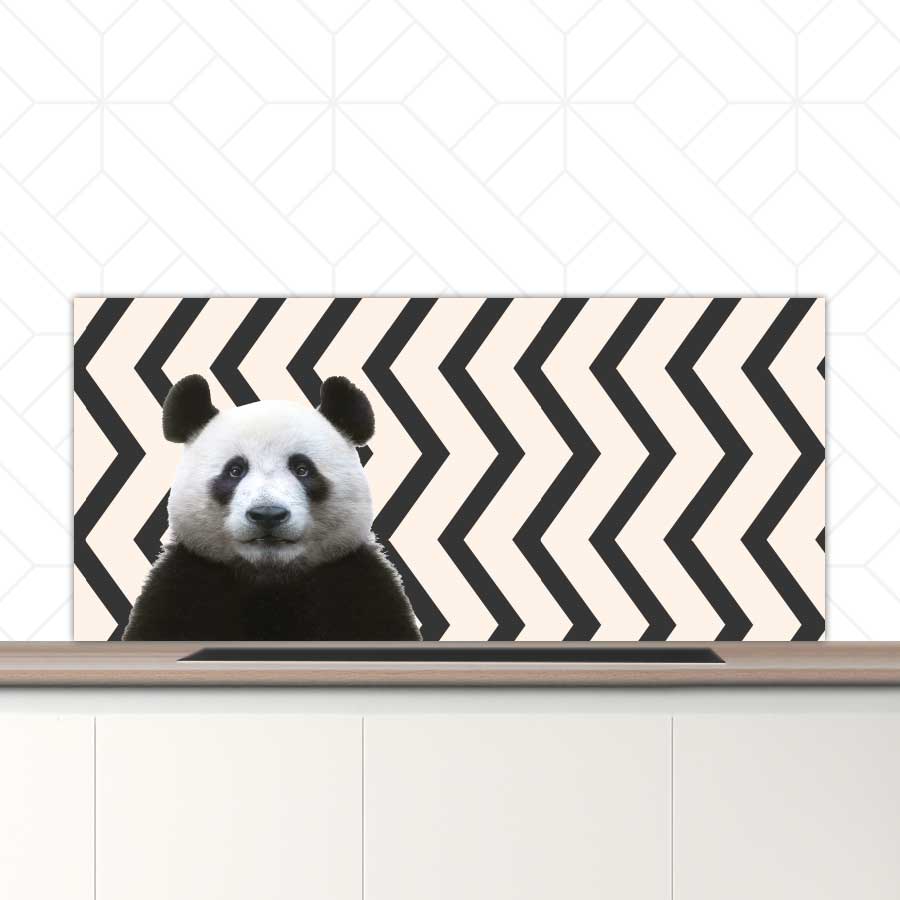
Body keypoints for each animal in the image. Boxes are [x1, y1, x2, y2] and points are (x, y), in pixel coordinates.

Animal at [123, 373, 421, 641]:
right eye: (235, 470)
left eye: (302, 469)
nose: (267, 514)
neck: (270, 579)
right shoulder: (185, 584)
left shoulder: (358, 585)